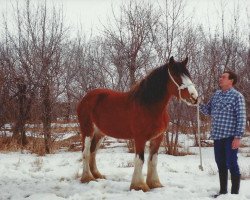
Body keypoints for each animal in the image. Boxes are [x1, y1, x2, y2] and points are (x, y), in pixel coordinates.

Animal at [77, 56, 198, 192]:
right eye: (176, 75)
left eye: (188, 75)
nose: (195, 97)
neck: (148, 106)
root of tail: (86, 97)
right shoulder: (140, 138)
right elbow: (140, 160)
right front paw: (139, 186)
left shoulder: (158, 138)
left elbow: (153, 160)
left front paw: (155, 183)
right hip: (87, 130)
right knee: (86, 152)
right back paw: (87, 178)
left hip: (100, 133)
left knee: (93, 151)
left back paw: (97, 175)